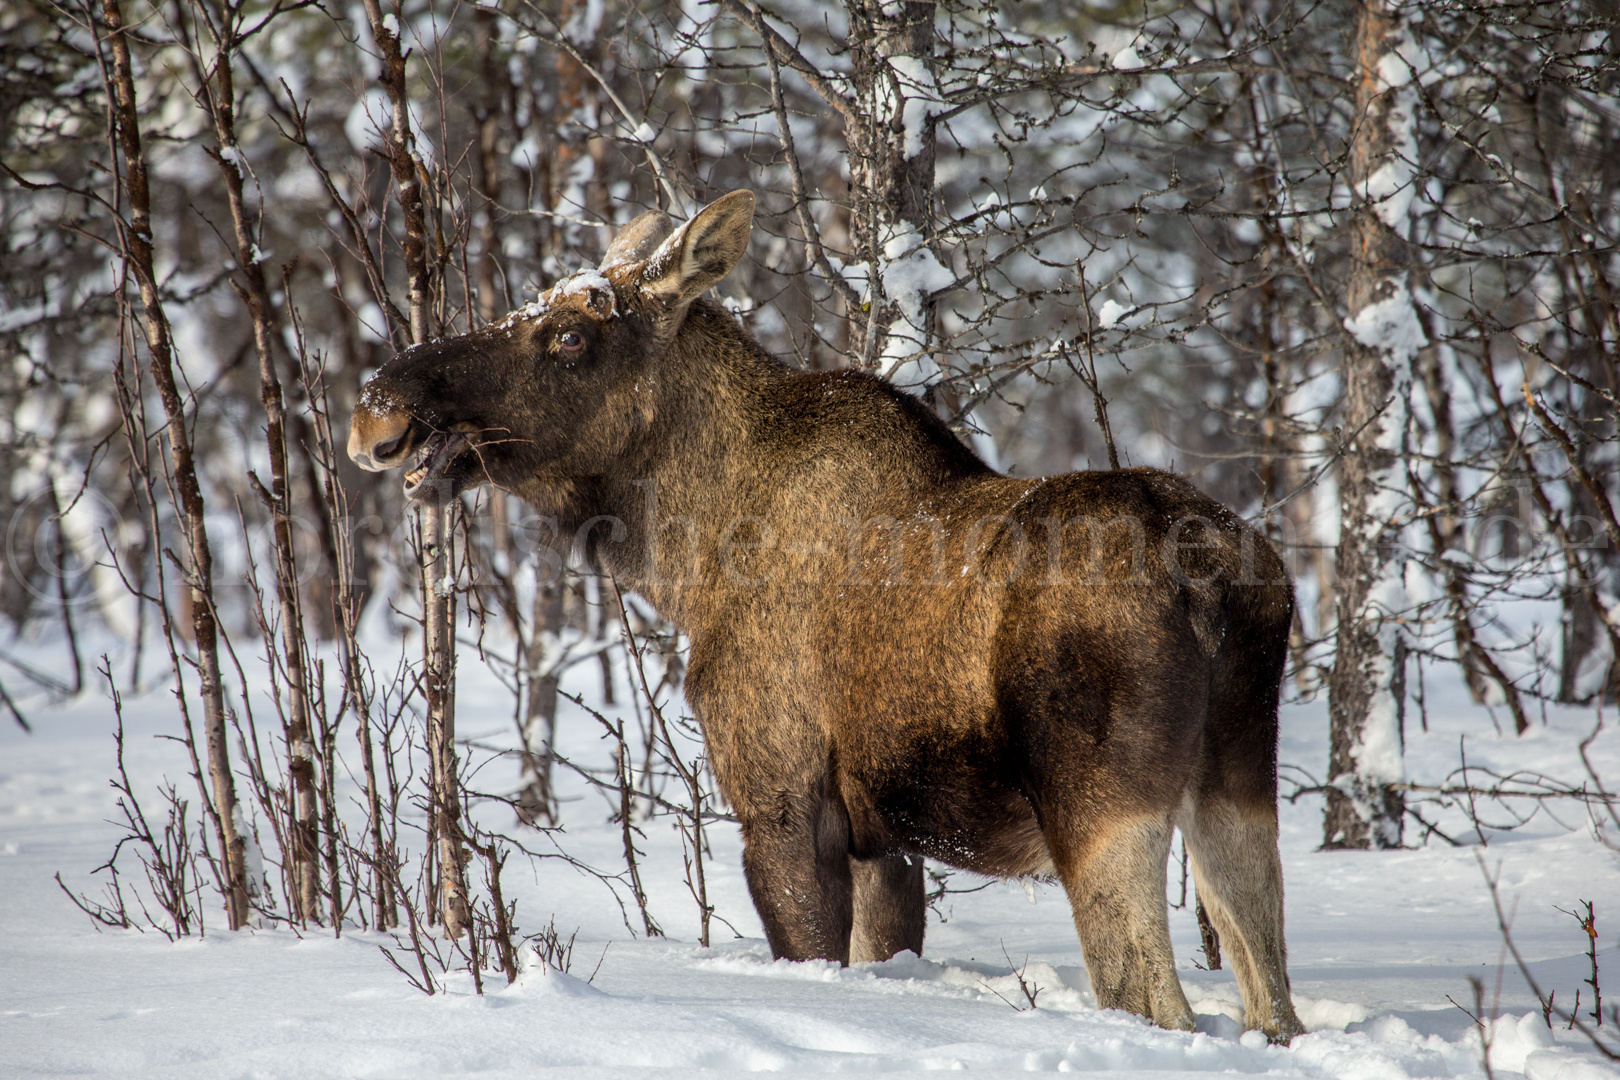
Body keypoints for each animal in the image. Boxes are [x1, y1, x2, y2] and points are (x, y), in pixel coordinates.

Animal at [348, 190, 1308, 1042]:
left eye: (571, 335)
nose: (376, 407)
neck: (688, 559)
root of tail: (1214, 580)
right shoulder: (886, 841)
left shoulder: (782, 799)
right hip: (1235, 780)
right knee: (1272, 1002)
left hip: (1101, 806)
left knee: (1157, 1002)